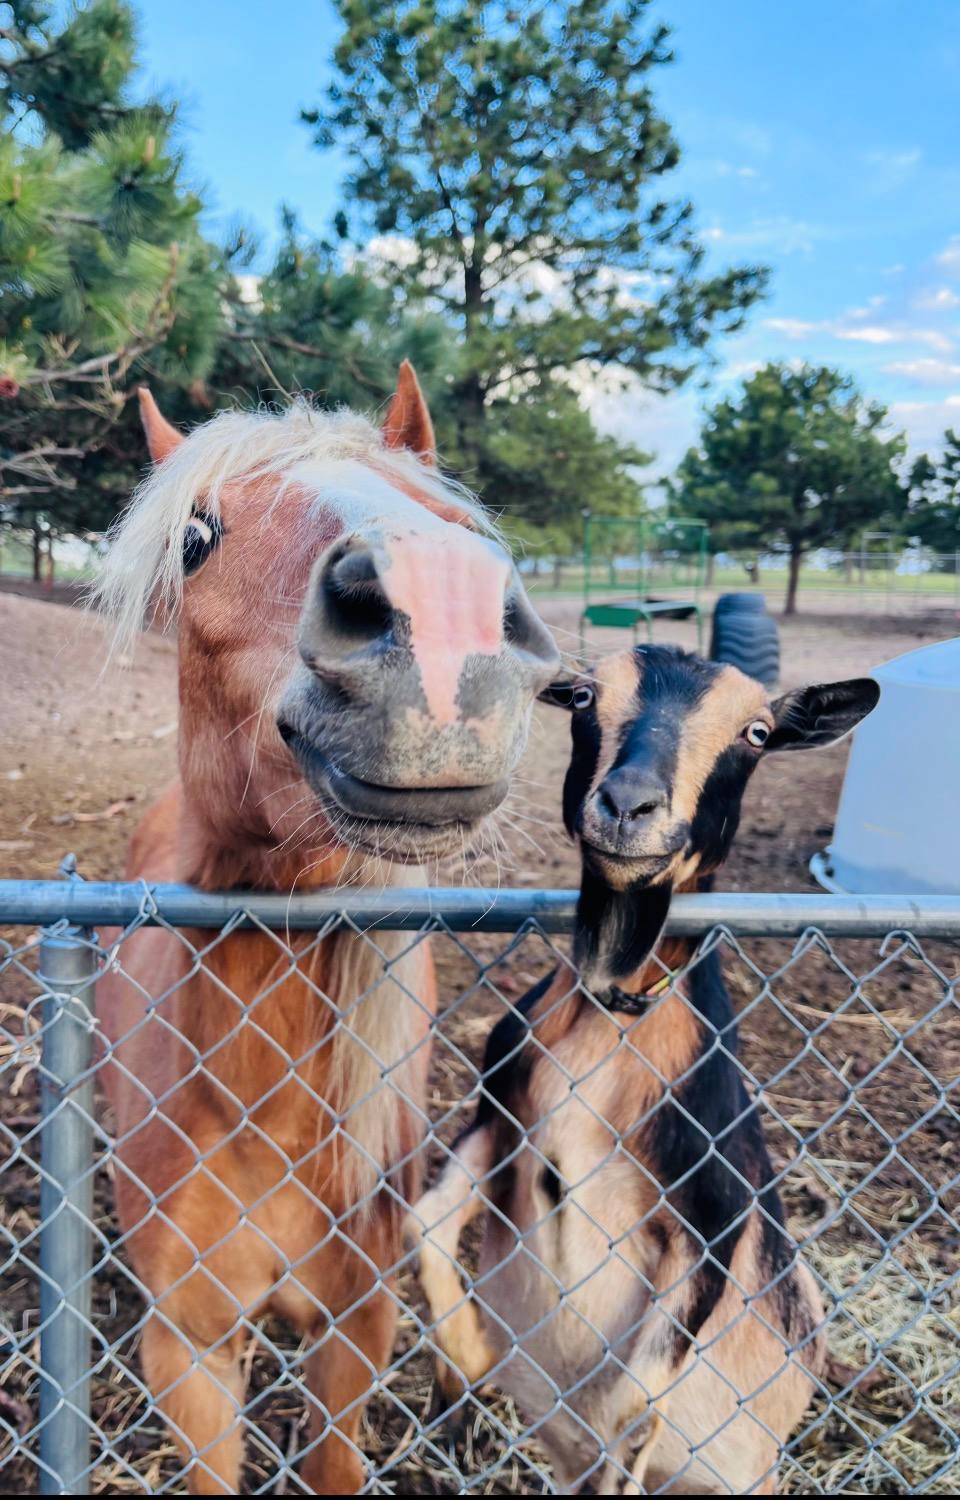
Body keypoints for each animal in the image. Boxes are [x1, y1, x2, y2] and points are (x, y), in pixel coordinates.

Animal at [94, 363, 560, 1494]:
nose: (441, 605)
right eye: (196, 537)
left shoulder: (356, 1329)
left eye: (448, 513)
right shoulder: (189, 1352)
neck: (261, 1115)